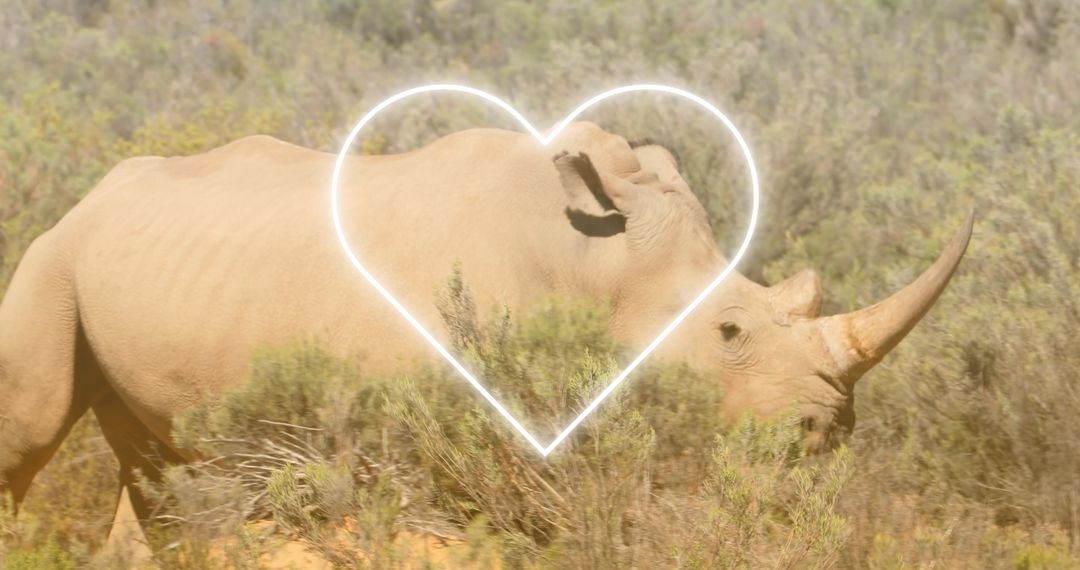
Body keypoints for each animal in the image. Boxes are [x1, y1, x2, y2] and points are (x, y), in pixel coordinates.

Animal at [0, 121, 971, 538]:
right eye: (729, 331)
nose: (825, 430)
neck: (588, 261)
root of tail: (95, 194)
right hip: (53, 259)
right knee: (33, 429)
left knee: (160, 480)